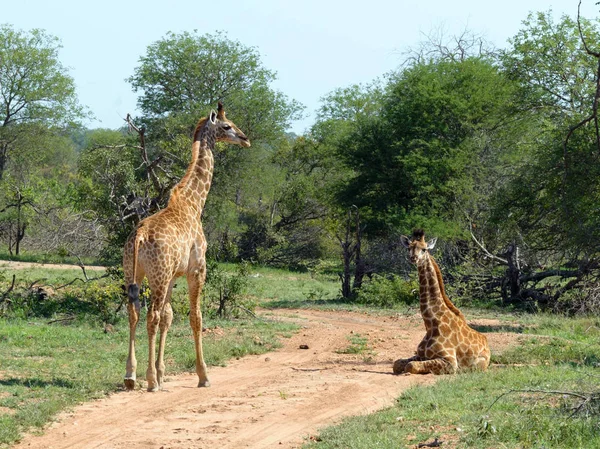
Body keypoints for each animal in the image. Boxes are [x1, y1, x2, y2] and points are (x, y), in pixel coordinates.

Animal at [123, 101, 250, 388]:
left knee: (135, 311)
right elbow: (196, 317)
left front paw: (162, 371)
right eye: (227, 126)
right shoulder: (197, 269)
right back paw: (150, 382)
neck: (194, 203)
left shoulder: (173, 276)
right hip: (157, 276)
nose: (245, 139)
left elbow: (169, 317)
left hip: (134, 272)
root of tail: (139, 236)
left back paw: (131, 375)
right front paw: (203, 375)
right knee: (151, 315)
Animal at [396, 229, 490, 372]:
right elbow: (397, 364)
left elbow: (410, 366)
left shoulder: (450, 362)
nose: (413, 258)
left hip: (479, 364)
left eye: (424, 249)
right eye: (409, 248)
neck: (431, 324)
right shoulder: (420, 355)